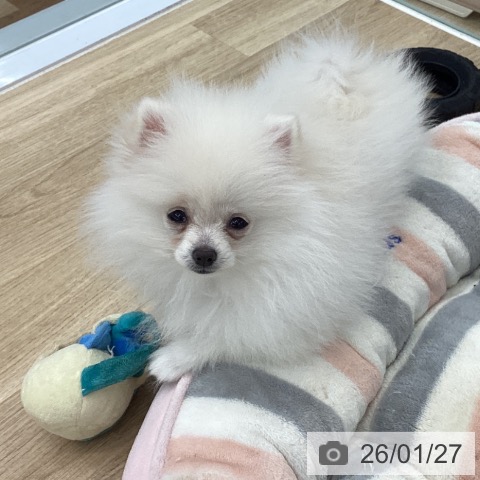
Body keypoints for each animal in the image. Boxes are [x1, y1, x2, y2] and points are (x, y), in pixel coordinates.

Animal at [85, 35, 429, 382]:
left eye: (238, 222)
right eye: (177, 215)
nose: (204, 254)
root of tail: (348, 72)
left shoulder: (302, 301)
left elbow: (233, 333)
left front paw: (174, 358)